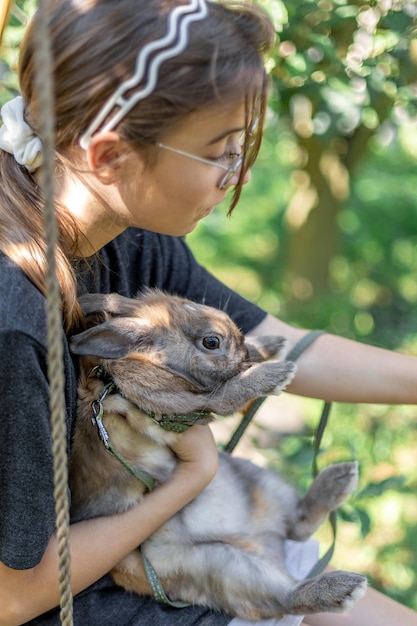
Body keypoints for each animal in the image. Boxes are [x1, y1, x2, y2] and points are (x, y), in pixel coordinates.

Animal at [70, 288, 366, 620]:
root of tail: (265, 541)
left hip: (260, 481)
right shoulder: (180, 406)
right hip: (221, 566)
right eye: (211, 342)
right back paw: (344, 587)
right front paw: (275, 373)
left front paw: (271, 344)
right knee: (286, 595)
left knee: (298, 523)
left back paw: (339, 479)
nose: (246, 352)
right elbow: (228, 392)